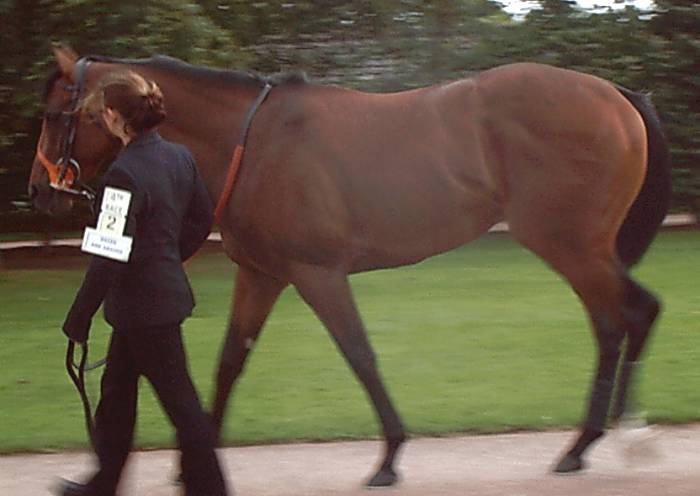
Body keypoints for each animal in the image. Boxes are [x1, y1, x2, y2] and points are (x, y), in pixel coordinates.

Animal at [29, 45, 671, 486]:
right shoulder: (263, 273)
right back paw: (590, 444)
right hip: (579, 247)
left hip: (570, 243)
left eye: (56, 112)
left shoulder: (316, 272)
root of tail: (616, 95)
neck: (255, 141)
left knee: (633, 314)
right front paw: (196, 458)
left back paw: (610, 439)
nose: (39, 190)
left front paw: (389, 456)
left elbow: (358, 353)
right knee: (616, 322)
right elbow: (230, 361)